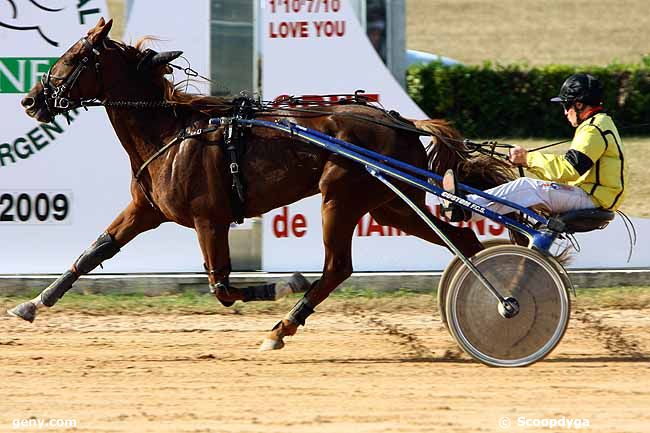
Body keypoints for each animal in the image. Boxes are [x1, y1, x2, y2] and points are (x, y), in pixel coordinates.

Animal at [10, 18, 512, 352]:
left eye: (73, 58)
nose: (31, 100)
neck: (170, 133)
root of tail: (402, 121)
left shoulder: (208, 220)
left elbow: (222, 287)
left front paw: (283, 283)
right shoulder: (146, 210)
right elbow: (95, 250)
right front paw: (34, 303)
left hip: (341, 197)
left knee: (337, 267)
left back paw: (283, 326)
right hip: (390, 203)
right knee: (462, 239)